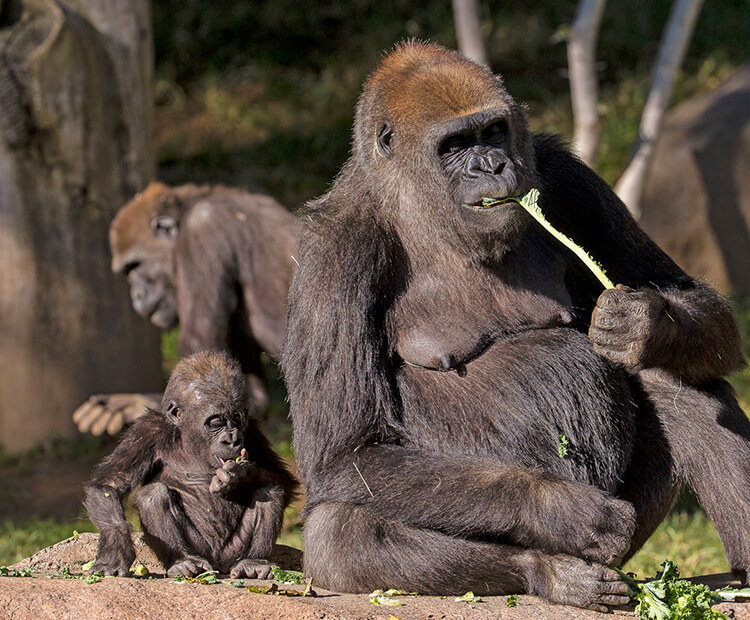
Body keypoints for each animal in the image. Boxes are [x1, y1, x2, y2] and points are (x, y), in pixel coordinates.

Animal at [73, 183, 302, 436]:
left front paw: (141, 403)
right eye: (127, 272)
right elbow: (250, 394)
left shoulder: (203, 230)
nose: (136, 295)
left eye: (134, 266)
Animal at [80, 352, 296, 580]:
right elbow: (109, 485)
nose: (233, 439)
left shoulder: (252, 430)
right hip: (199, 548)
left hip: (232, 553)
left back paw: (252, 562)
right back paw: (183, 562)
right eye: (216, 422)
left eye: (238, 417)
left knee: (269, 492)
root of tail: (219, 565)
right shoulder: (146, 432)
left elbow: (283, 480)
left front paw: (239, 477)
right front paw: (115, 550)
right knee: (153, 494)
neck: (189, 438)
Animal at [284, 42, 750, 612]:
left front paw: (644, 324)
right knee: (338, 531)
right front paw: (562, 508)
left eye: (493, 132)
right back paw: (553, 574)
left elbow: (689, 301)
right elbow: (346, 452)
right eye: (455, 145)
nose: (491, 166)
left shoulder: (567, 176)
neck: (415, 205)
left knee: (681, 380)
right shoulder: (334, 247)